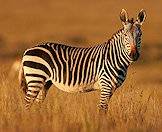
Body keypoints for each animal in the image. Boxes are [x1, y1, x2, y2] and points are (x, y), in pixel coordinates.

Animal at [19, 9, 147, 112]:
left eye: (140, 35)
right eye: (125, 35)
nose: (134, 55)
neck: (114, 57)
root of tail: (27, 50)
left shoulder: (111, 88)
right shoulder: (105, 84)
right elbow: (102, 109)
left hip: (44, 82)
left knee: (36, 104)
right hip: (35, 78)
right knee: (27, 103)